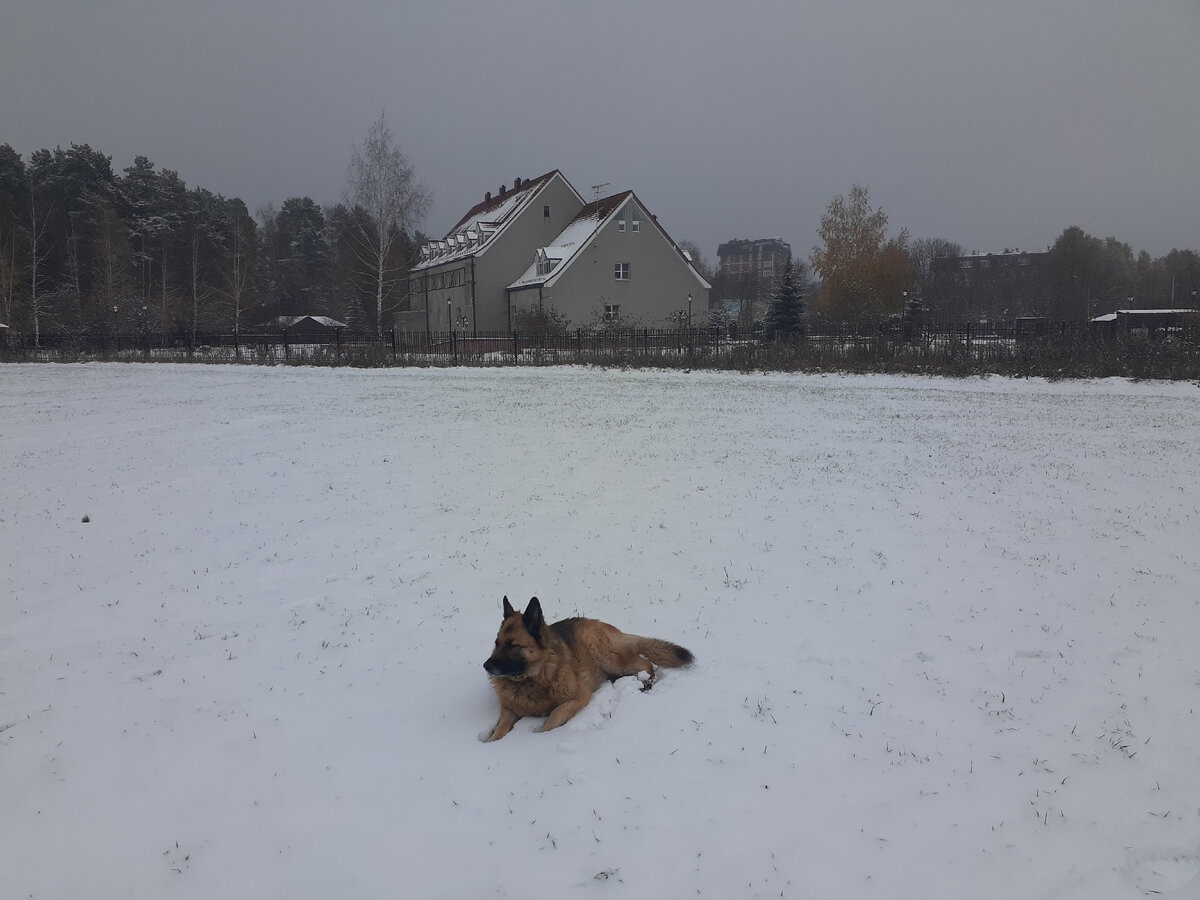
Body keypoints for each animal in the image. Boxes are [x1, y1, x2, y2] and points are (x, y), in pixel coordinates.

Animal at [482, 600, 696, 739]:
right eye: (497, 644)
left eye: (513, 646)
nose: (486, 666)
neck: (531, 679)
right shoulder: (509, 711)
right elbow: (499, 729)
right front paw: (491, 741)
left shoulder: (579, 697)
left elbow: (555, 715)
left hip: (609, 658)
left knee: (646, 664)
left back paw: (647, 683)